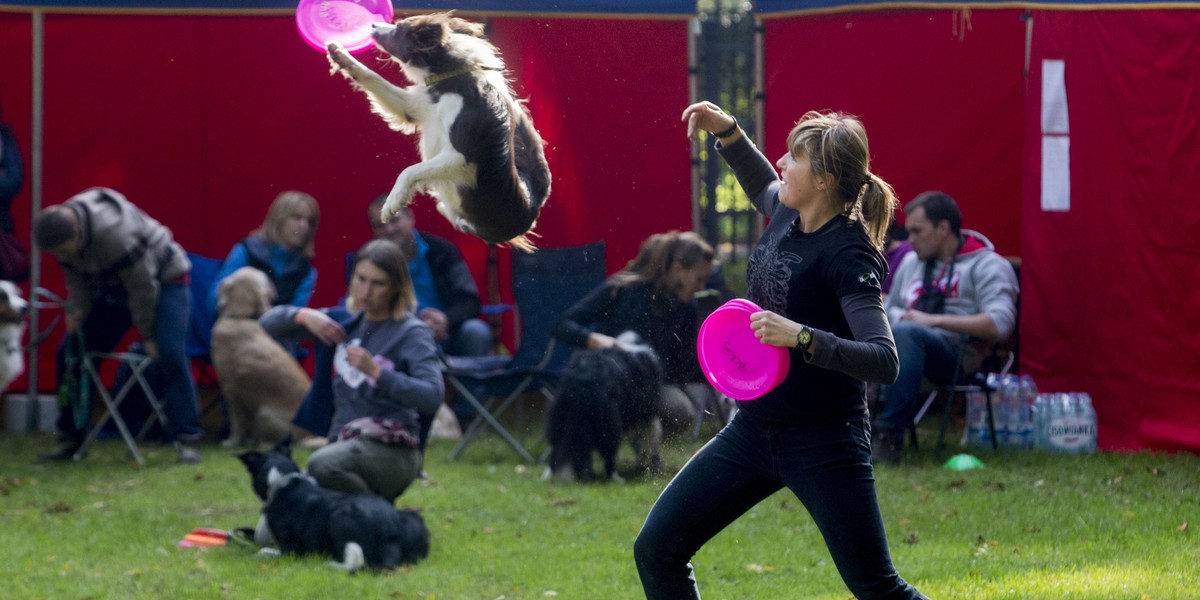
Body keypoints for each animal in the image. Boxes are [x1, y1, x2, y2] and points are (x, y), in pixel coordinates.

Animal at [236, 436, 429, 571]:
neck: (284, 480)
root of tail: (390, 532)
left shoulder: (291, 551)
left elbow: (263, 551)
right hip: (412, 516)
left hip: (338, 518)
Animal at [328, 11, 552, 250]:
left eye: (399, 30)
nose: (372, 24)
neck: (451, 80)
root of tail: (533, 205)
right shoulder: (413, 108)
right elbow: (372, 77)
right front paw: (339, 54)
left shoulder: (460, 156)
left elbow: (411, 170)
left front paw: (393, 202)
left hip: (485, 228)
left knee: (461, 221)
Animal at [544, 331, 667, 480]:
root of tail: (583, 378)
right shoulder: (646, 412)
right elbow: (651, 434)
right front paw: (648, 462)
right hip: (610, 422)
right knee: (609, 450)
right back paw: (616, 478)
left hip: (559, 415)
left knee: (556, 447)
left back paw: (549, 476)